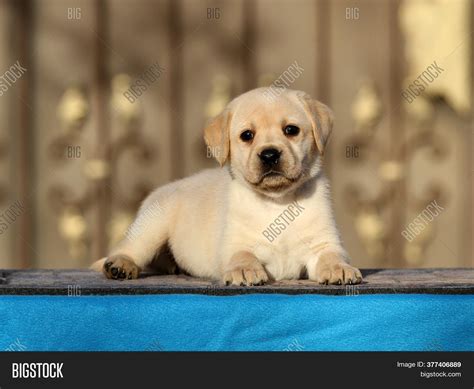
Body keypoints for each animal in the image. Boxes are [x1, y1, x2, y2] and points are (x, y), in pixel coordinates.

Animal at [91, 88, 362, 284]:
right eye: (247, 135)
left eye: (291, 130)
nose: (270, 155)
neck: (276, 202)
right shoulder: (232, 244)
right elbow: (242, 255)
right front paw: (244, 270)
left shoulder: (324, 242)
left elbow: (331, 255)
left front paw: (340, 268)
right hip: (151, 226)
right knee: (129, 249)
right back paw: (119, 265)